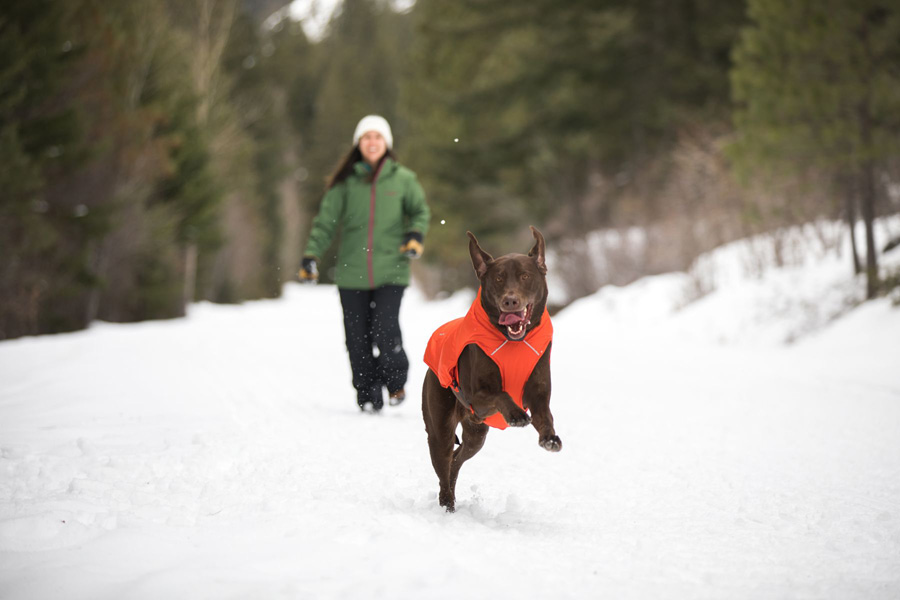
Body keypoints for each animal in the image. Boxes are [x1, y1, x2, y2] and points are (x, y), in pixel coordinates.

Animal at [422, 225, 564, 510]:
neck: (513, 342)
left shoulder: (539, 394)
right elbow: (501, 393)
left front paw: (549, 438)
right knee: (444, 462)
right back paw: (447, 504)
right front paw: (516, 414)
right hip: (440, 425)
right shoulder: (477, 397)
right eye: (498, 279)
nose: (510, 301)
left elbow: (545, 415)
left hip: (476, 433)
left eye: (525, 276)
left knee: (457, 459)